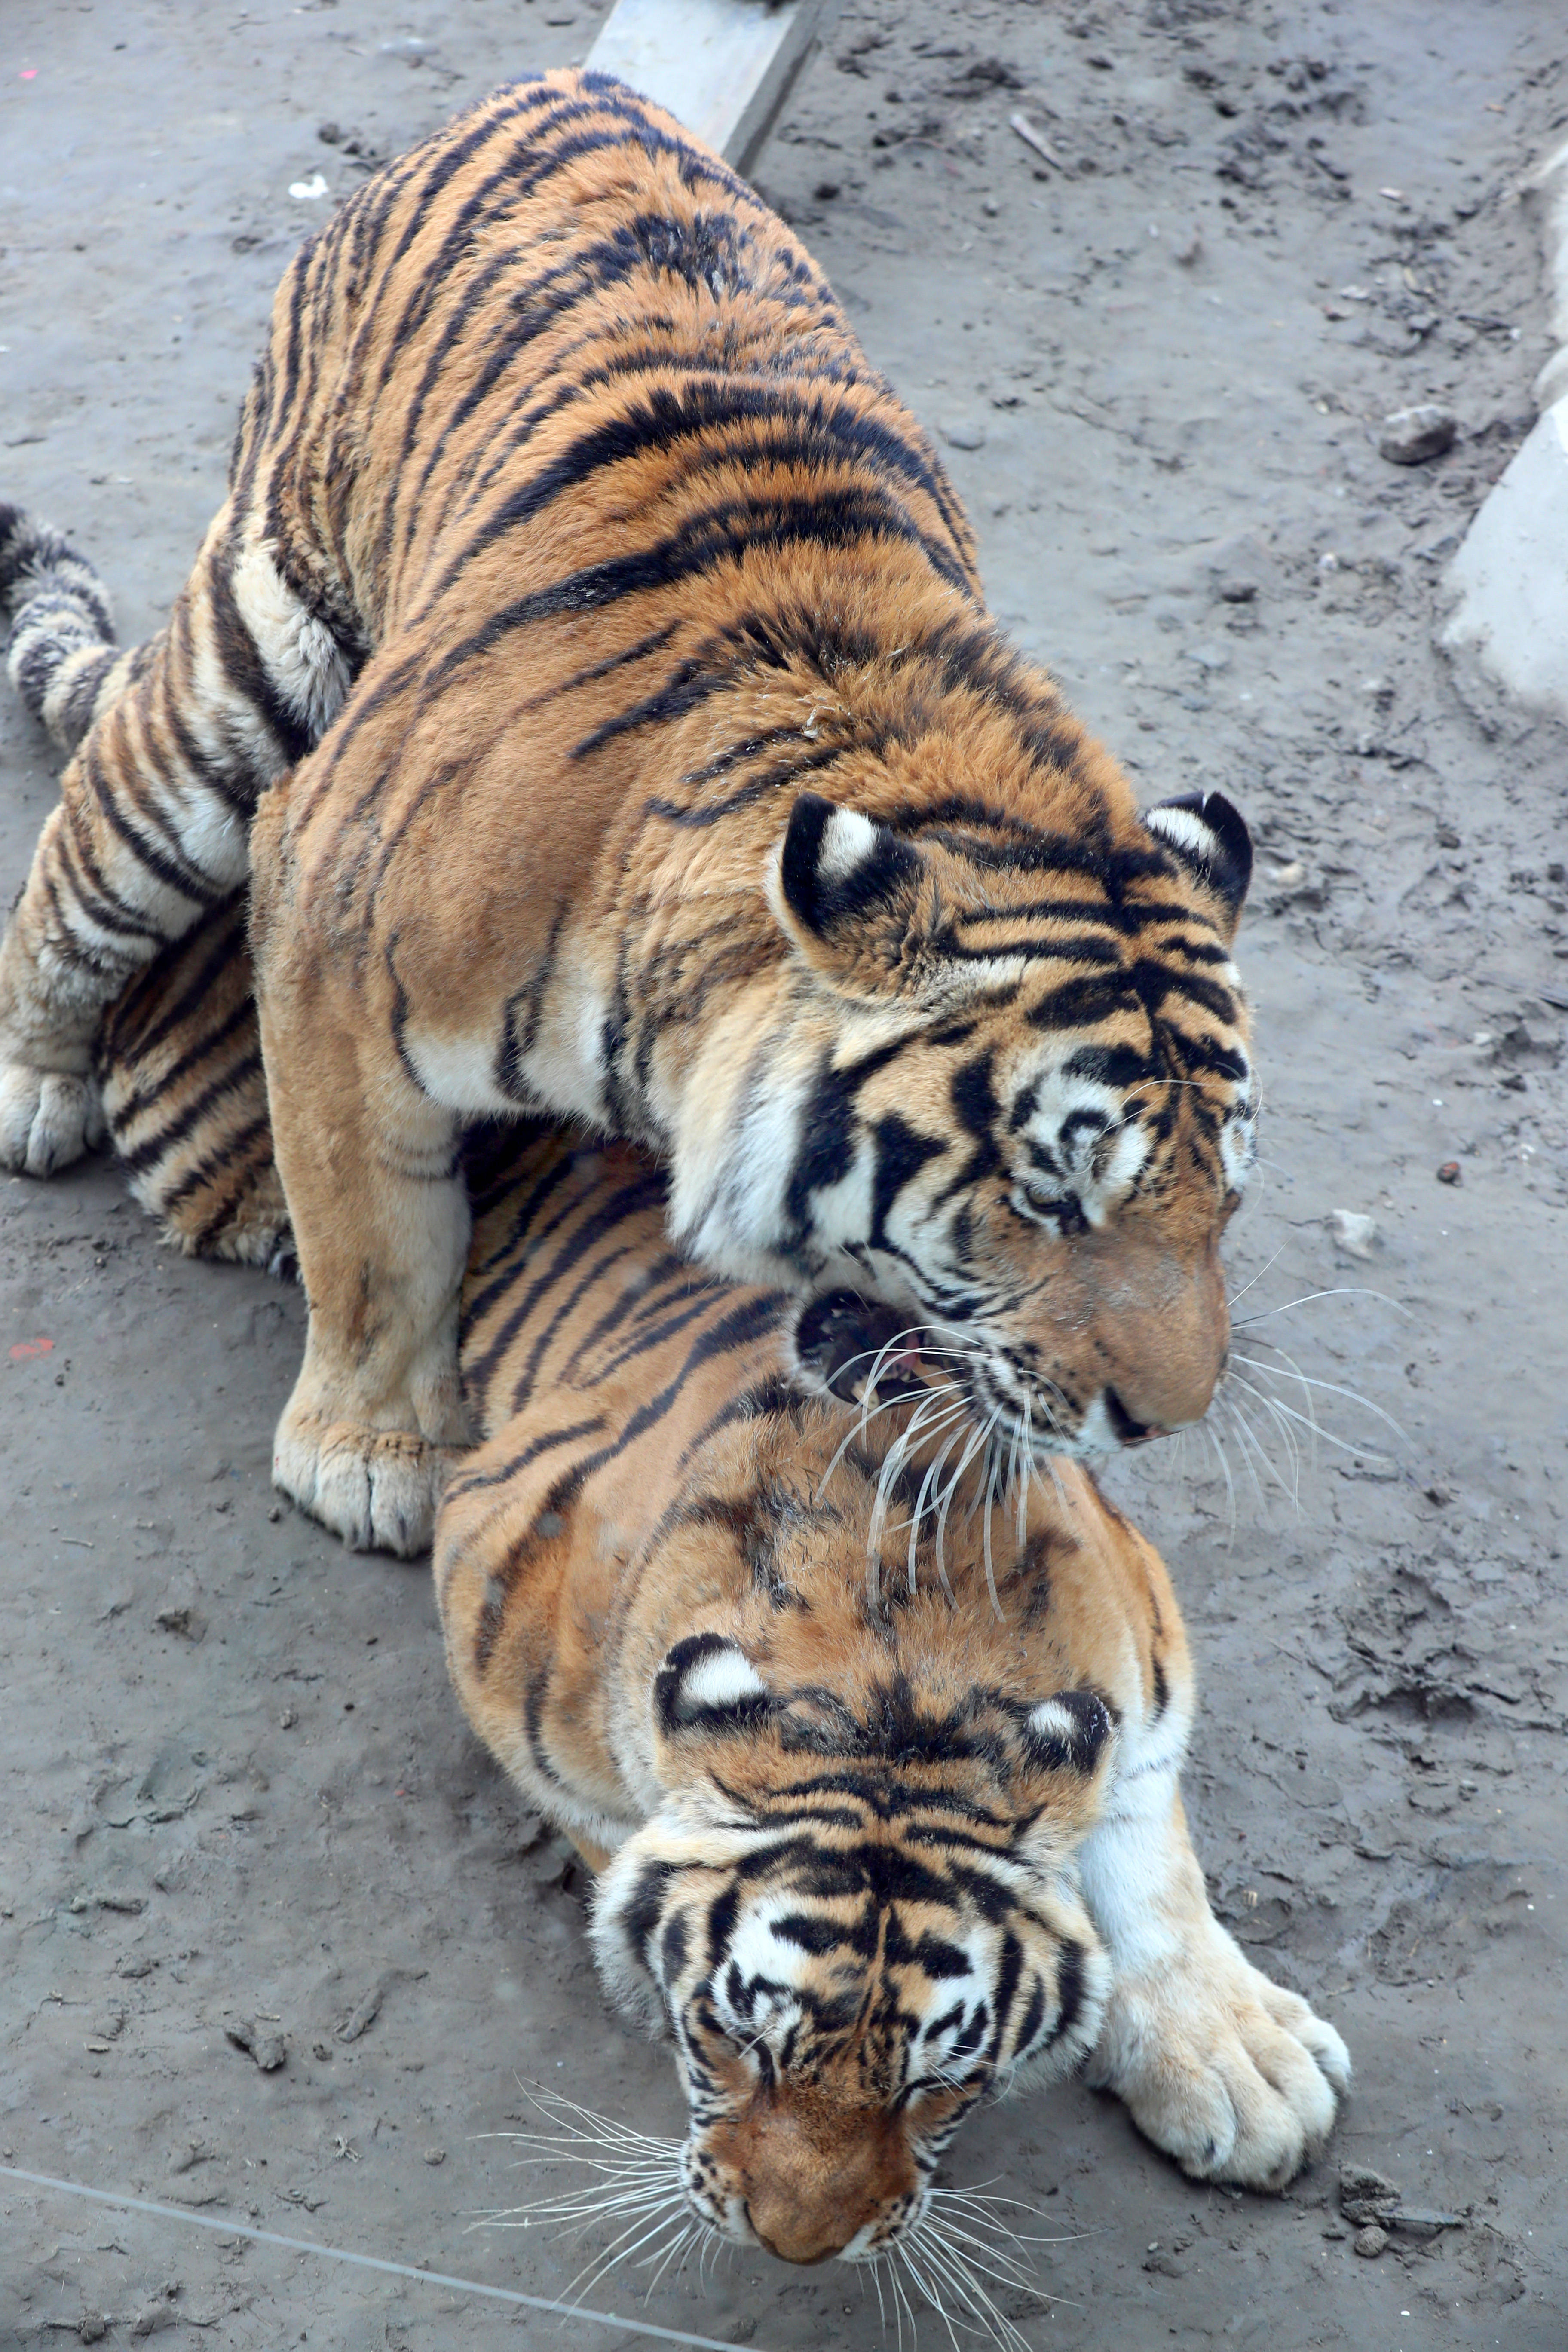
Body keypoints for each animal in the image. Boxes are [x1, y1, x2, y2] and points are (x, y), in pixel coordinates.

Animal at [0, 69, 1260, 1562]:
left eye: (1226, 1198)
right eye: (1047, 1198)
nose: (1163, 1420)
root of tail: (560, 82)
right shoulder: (322, 926)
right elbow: (373, 1235)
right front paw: (368, 1455)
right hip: (242, 675)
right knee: (85, 852)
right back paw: (35, 1086)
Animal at [430, 1119, 1354, 2258]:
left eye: (938, 2084)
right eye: (736, 2039)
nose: (798, 2242)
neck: (899, 1692)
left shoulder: (1141, 1640)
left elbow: (1150, 1860)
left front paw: (1240, 2064)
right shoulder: (493, 1571)